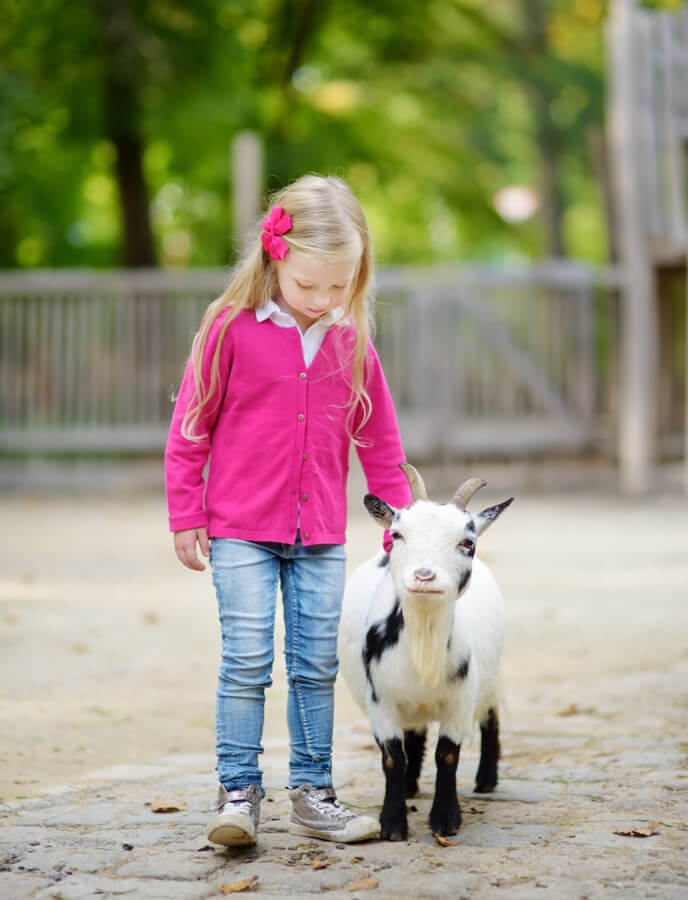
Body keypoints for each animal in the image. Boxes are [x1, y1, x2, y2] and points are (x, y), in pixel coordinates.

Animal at [338, 468, 510, 840]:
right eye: (397, 535)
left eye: (468, 543)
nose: (424, 575)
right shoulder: (381, 700)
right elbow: (392, 757)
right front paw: (392, 824)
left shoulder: (461, 700)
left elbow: (447, 755)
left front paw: (445, 819)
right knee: (414, 733)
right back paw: (410, 785)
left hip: (492, 678)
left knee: (490, 716)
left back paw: (486, 781)